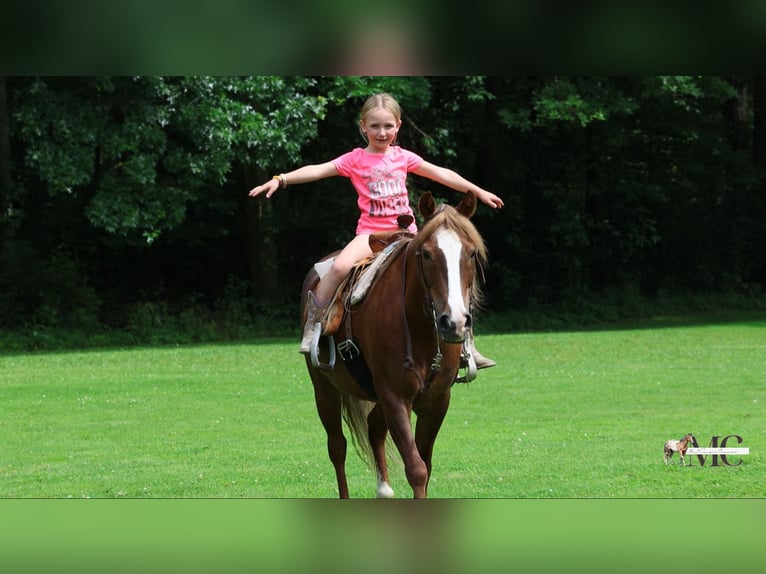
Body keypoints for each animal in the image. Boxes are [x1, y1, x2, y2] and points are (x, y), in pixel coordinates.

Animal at [300, 191, 488, 498]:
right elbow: (417, 469)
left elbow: (425, 464)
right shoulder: (394, 397)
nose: (454, 322)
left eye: (471, 253)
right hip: (324, 389)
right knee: (337, 447)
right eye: (426, 254)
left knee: (374, 428)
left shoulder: (436, 400)